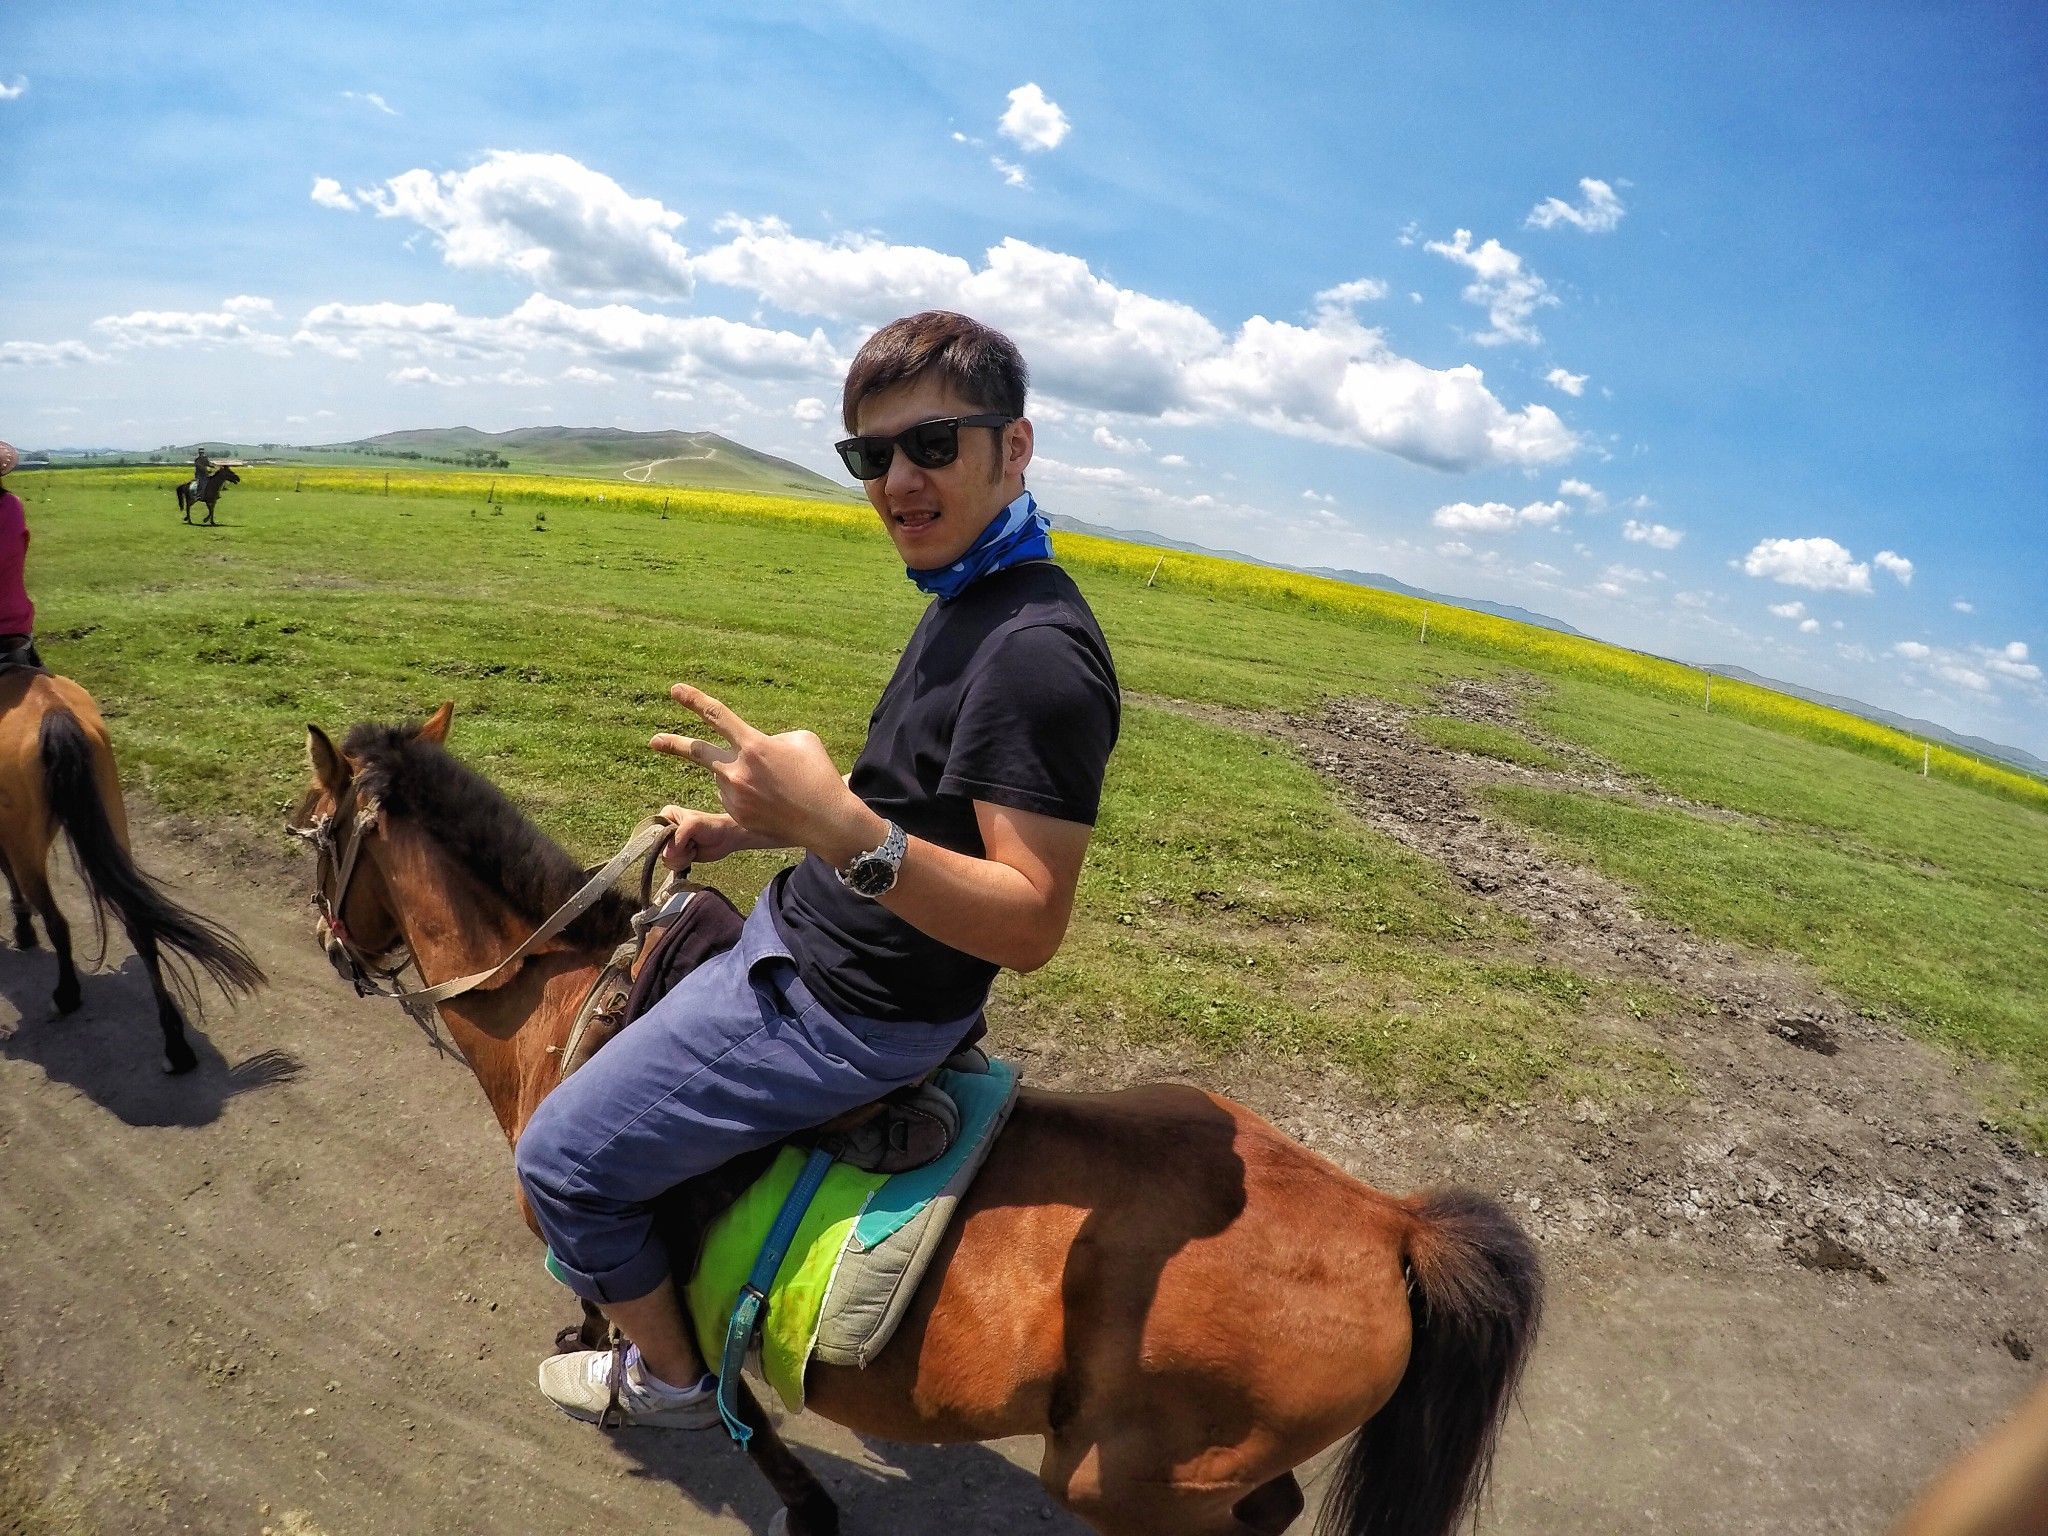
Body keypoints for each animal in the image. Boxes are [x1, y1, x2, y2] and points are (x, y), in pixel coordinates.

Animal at [1, 667, 264, 1073]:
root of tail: (52, 713)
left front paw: (22, 930)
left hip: (26, 841)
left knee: (56, 920)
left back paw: (66, 994)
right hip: (109, 814)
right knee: (139, 924)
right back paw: (175, 1046)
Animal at [292, 708, 1540, 1536]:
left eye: (306, 828)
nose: (325, 947)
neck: (565, 1003)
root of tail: (1387, 1222)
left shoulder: (600, 1203)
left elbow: (708, 1379)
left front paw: (649, 1396)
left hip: (1129, 1483)